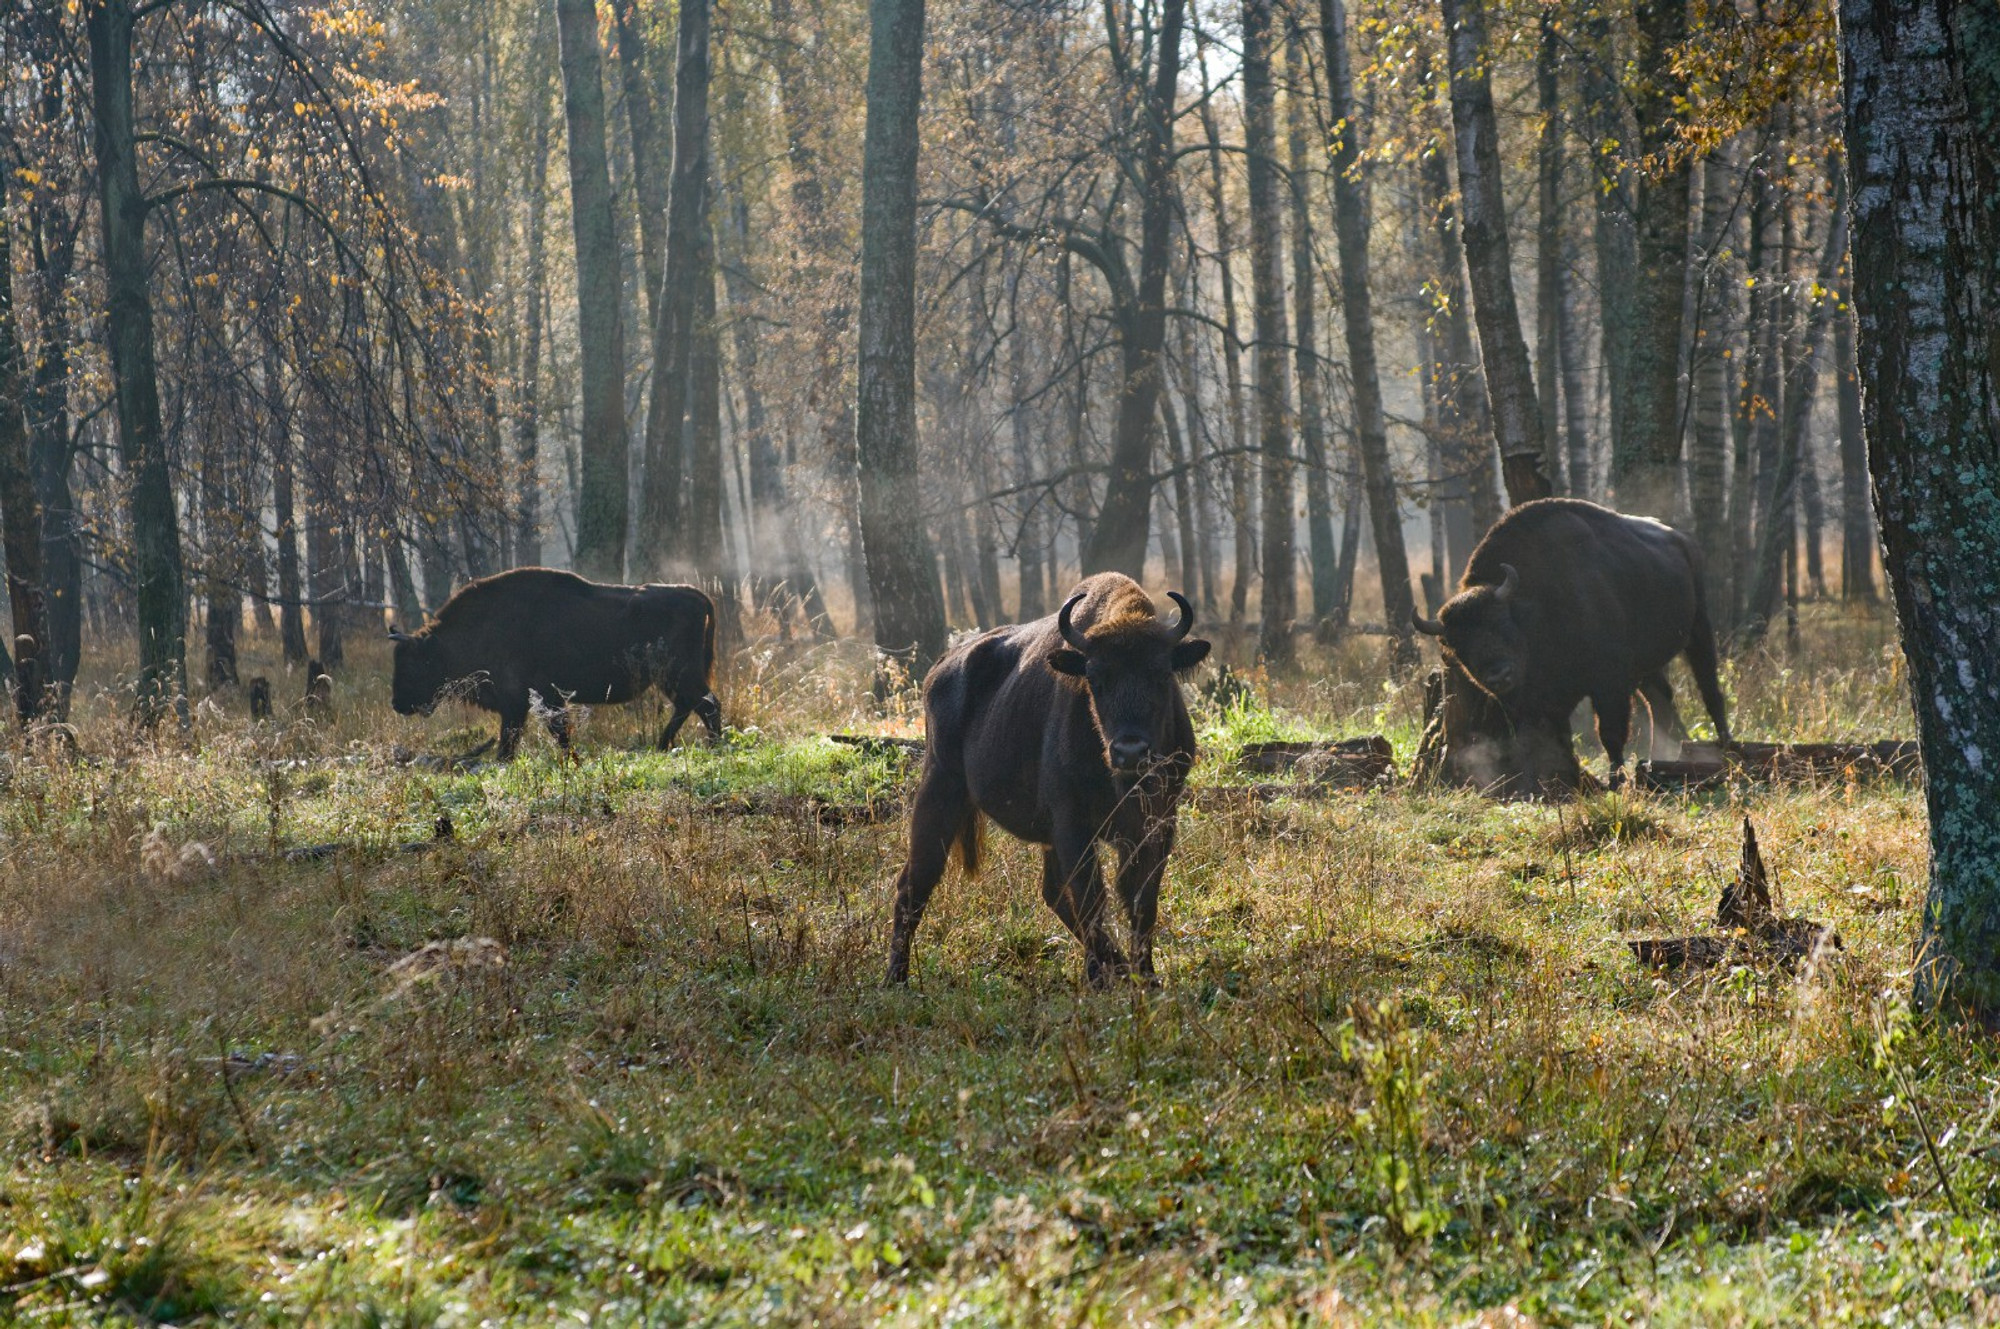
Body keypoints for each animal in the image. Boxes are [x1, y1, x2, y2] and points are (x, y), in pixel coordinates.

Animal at [386, 568, 724, 756]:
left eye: (414, 664)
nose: (397, 703)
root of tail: (697, 596)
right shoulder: (530, 703)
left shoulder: (522, 702)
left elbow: (527, 738)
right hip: (671, 679)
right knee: (691, 706)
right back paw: (665, 744)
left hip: (678, 675)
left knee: (707, 705)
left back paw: (710, 746)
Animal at [888, 572, 1200, 984]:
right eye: (1095, 677)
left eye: (1162, 674)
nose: (1130, 751)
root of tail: (940, 667)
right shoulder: (1072, 825)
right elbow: (1091, 899)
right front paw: (1106, 977)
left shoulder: (1157, 823)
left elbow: (1141, 902)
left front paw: (1144, 977)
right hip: (939, 792)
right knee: (914, 884)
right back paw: (896, 978)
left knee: (1052, 894)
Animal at [1408, 498, 1736, 788]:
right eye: (1457, 643)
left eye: (1502, 622)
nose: (1500, 675)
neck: (1533, 606)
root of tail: (1682, 540)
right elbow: (1544, 740)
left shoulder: (1609, 683)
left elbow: (1610, 733)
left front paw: (1615, 781)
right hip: (1646, 666)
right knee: (1661, 699)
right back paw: (1666, 753)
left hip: (1699, 629)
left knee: (1709, 689)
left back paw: (1725, 745)